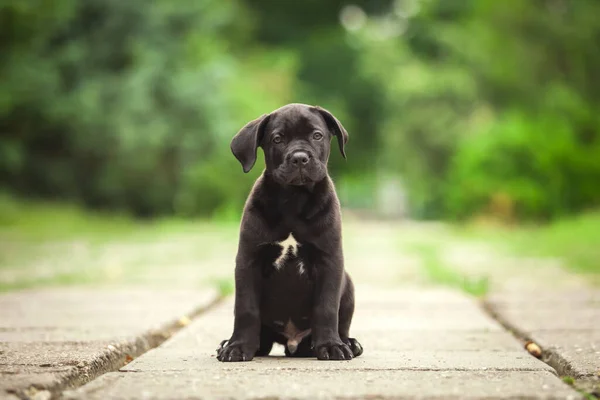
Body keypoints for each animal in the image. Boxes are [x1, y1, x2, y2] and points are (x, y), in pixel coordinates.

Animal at [218, 103, 364, 362]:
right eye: (277, 139)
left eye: (317, 135)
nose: (299, 158)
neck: (293, 198)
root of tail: (293, 343)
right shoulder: (248, 260)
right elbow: (245, 308)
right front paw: (238, 346)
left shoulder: (329, 260)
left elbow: (326, 307)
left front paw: (331, 345)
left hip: (347, 283)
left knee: (341, 323)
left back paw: (347, 342)